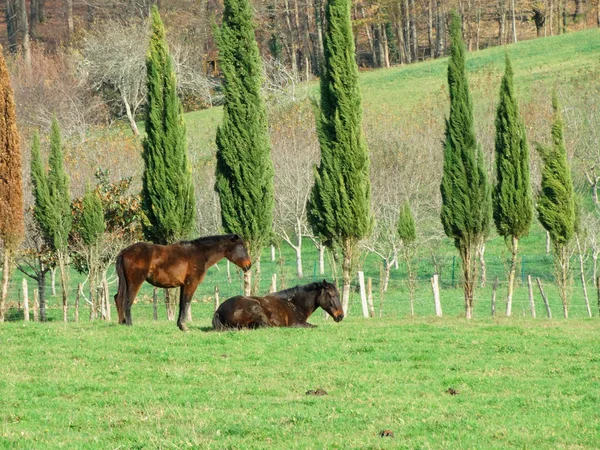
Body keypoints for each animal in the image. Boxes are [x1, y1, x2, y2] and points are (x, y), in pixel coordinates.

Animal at [115, 236, 251, 330]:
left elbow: (181, 304)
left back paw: (122, 322)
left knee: (118, 298)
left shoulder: (183, 286)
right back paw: (129, 324)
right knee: (127, 301)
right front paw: (183, 325)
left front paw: (179, 324)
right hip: (134, 282)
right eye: (242, 247)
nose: (248, 265)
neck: (200, 253)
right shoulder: (191, 284)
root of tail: (124, 251)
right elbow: (186, 303)